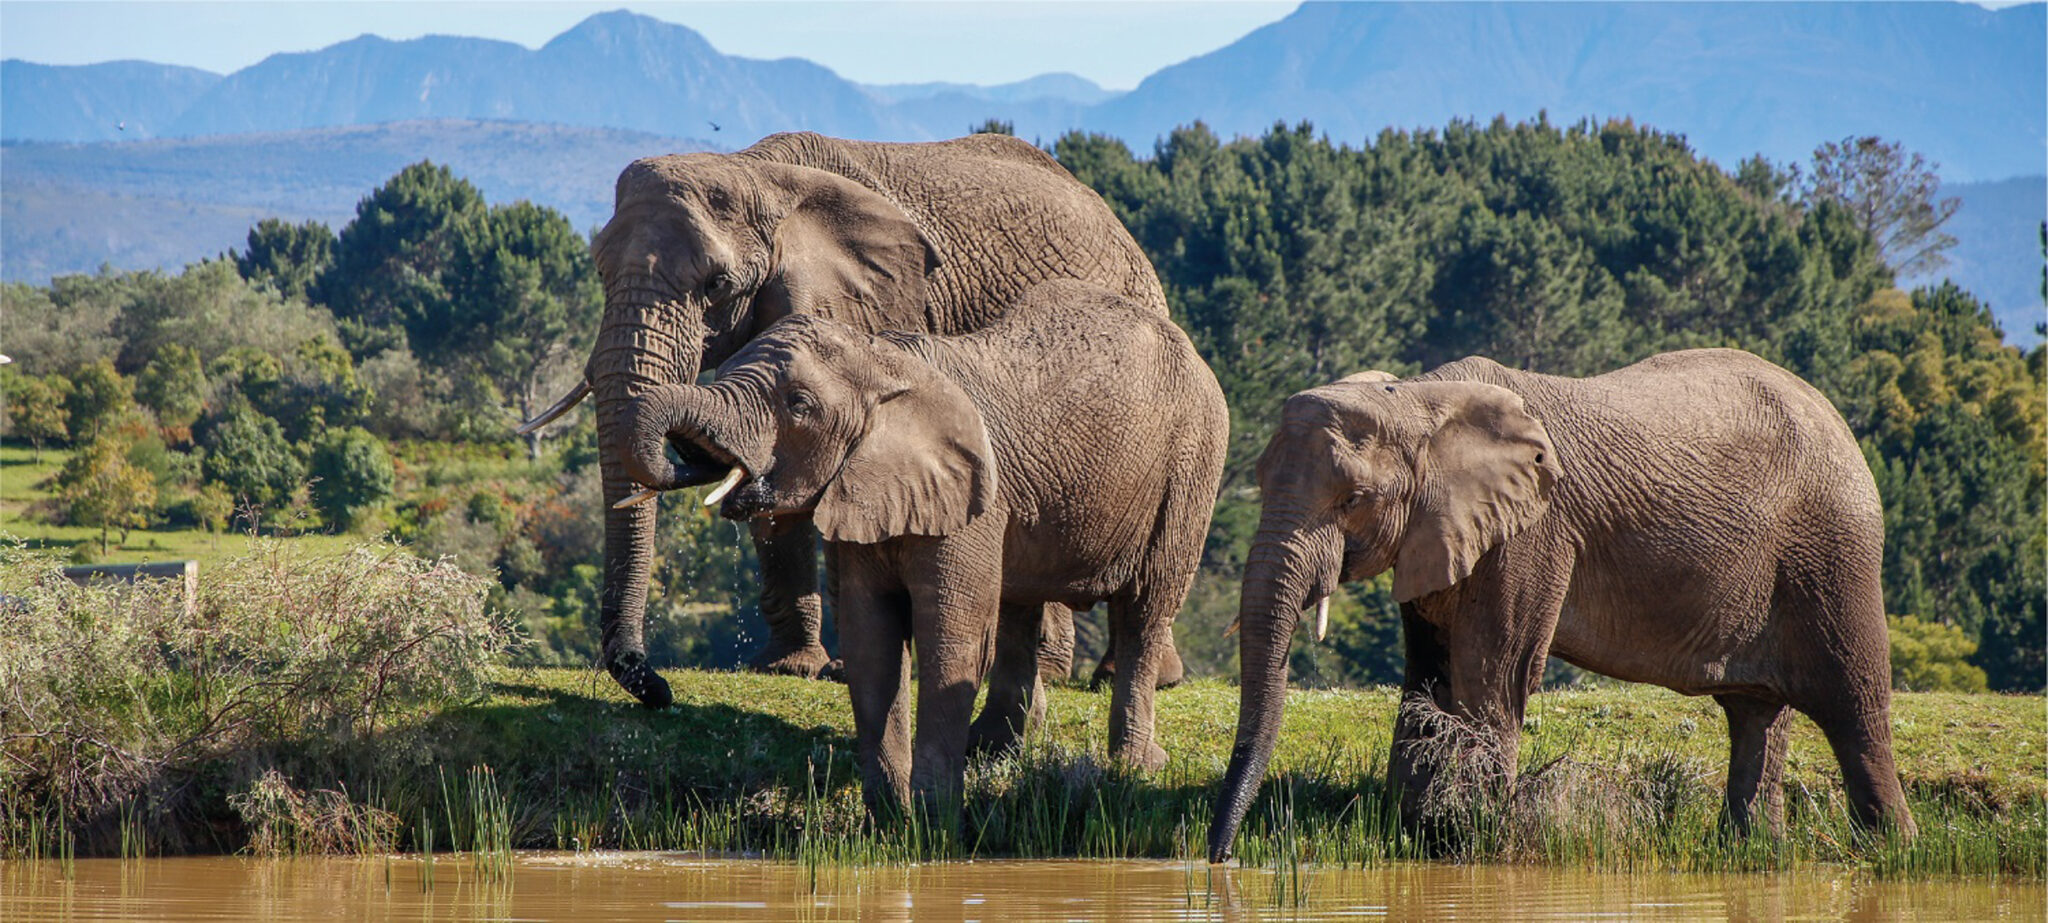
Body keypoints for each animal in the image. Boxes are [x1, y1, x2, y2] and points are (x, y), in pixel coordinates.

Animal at [517, 131, 1183, 707]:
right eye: (599, 271)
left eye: (716, 284)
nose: (657, 689)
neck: (757, 174)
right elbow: (775, 463)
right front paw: (790, 668)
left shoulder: (862, 315)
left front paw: (836, 670)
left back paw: (1122, 676)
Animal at [618, 280, 1227, 811]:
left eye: (798, 404)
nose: (661, 694)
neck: (884, 363)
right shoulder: (862, 488)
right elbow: (871, 637)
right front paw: (888, 814)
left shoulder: (973, 498)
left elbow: (950, 635)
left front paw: (934, 816)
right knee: (1019, 607)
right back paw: (993, 752)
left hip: (1192, 467)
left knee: (1144, 610)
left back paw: (1135, 767)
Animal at [1207, 348, 1915, 862]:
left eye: (1352, 499)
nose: (1220, 859)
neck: (1418, 398)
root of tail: (1835, 418)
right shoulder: (1438, 533)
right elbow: (1426, 679)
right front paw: (1414, 839)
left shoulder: (1534, 532)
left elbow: (1493, 674)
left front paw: (1472, 843)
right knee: (1755, 713)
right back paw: (1751, 853)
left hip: (1834, 549)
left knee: (1854, 706)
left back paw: (1893, 851)